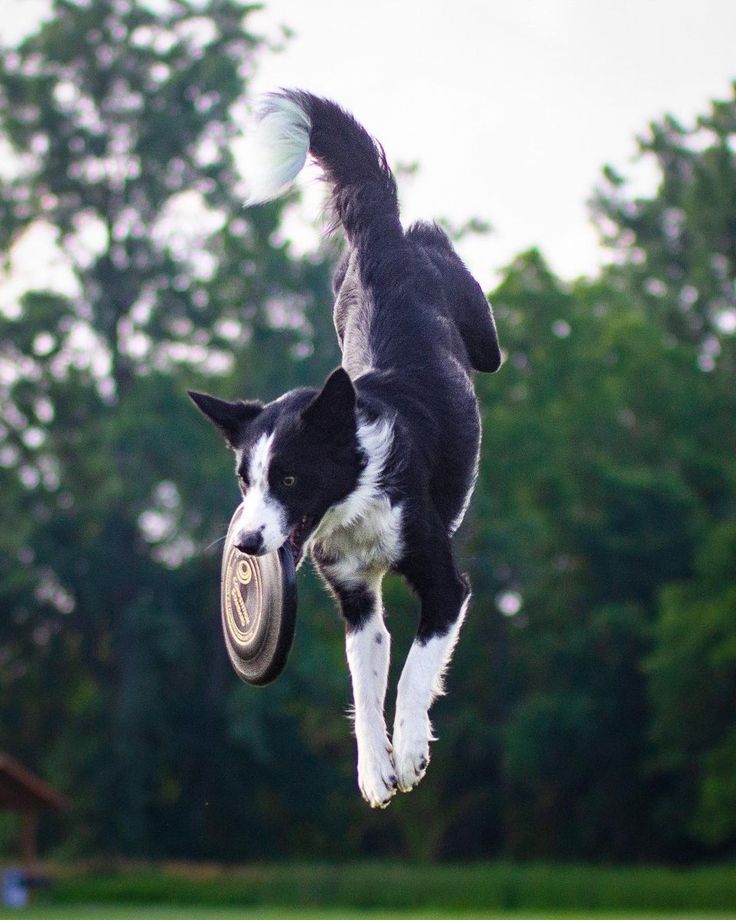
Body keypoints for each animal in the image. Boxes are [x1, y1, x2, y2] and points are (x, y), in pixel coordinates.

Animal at [190, 93, 500, 808]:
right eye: (245, 482)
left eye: (290, 479)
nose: (244, 545)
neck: (355, 502)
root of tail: (380, 238)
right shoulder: (357, 599)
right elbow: (365, 681)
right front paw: (374, 770)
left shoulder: (447, 584)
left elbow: (414, 670)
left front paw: (410, 754)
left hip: (480, 330)